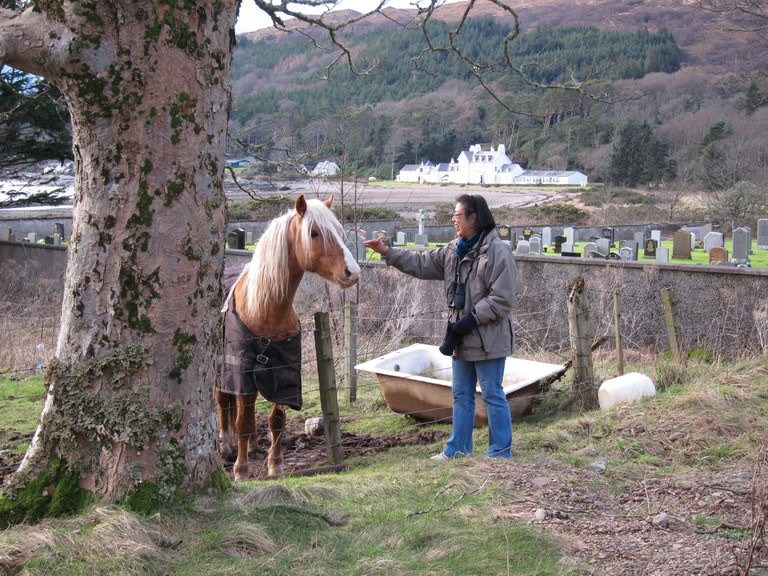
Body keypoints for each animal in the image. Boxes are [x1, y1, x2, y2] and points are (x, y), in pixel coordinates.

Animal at [216, 196, 360, 480]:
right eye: (314, 233)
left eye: (340, 231)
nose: (353, 272)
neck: (263, 308)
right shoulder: (240, 373)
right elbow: (242, 421)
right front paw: (241, 471)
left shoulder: (282, 374)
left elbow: (276, 421)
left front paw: (276, 464)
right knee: (223, 403)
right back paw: (226, 447)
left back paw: (253, 447)